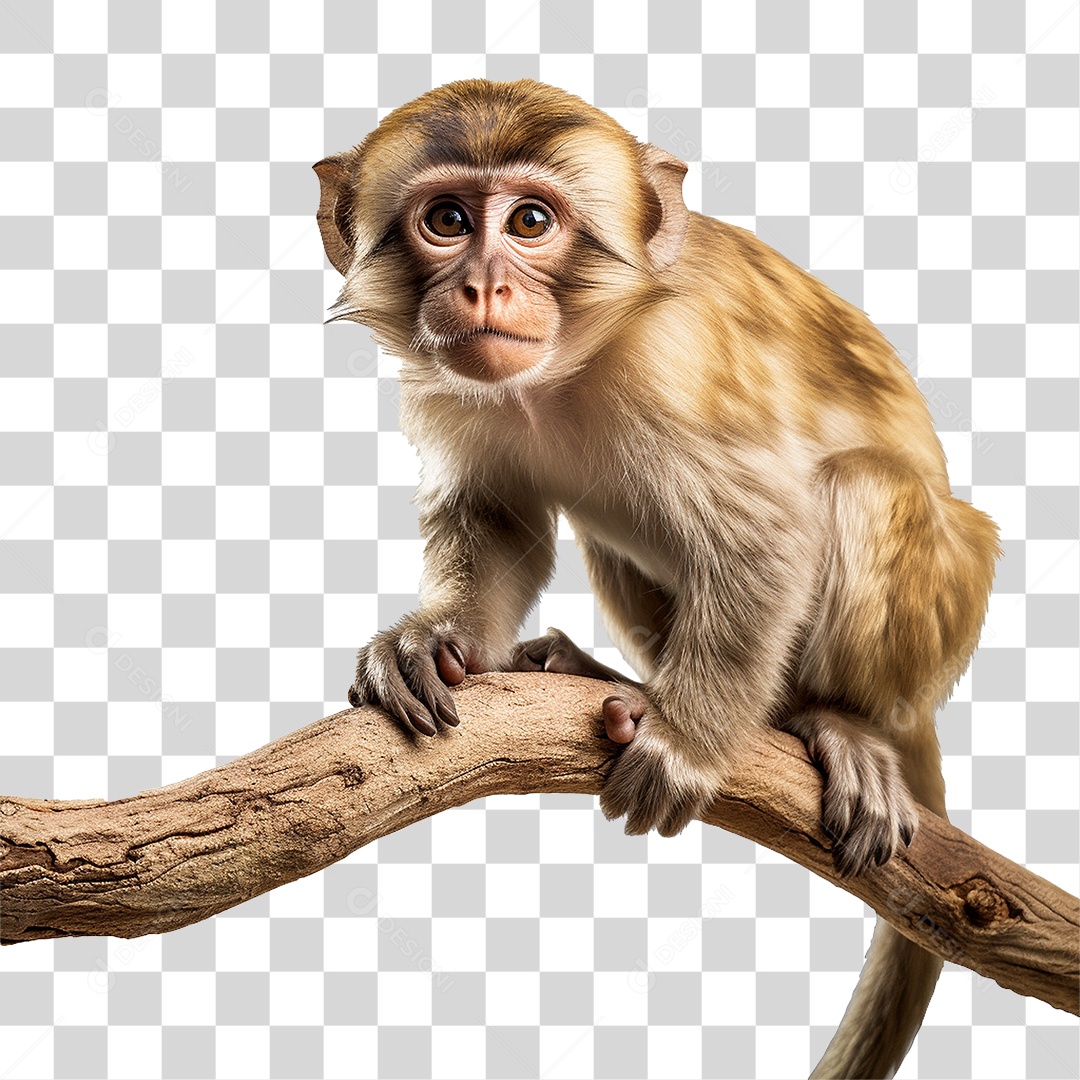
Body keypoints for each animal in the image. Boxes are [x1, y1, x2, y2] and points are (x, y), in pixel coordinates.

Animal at [314, 80, 1000, 1079]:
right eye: (446, 221)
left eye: (530, 221)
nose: (484, 286)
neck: (561, 370)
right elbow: (500, 525)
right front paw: (433, 638)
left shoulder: (674, 364)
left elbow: (767, 535)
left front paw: (686, 742)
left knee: (864, 488)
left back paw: (840, 722)